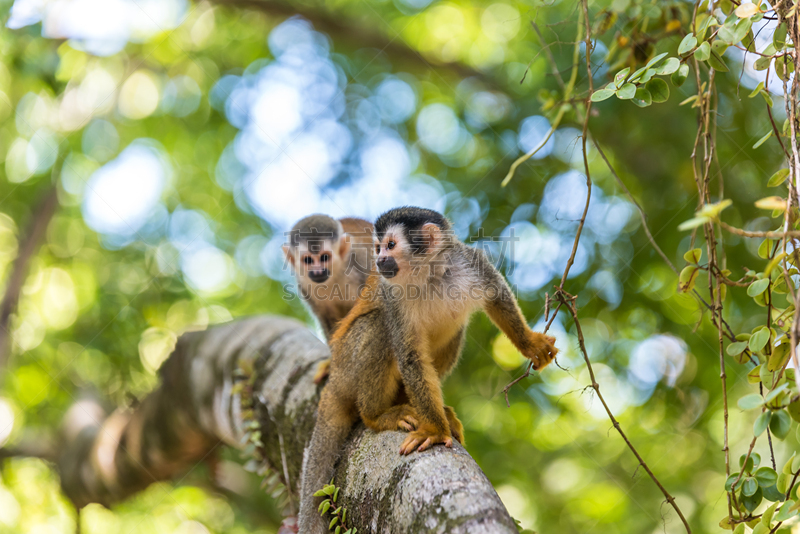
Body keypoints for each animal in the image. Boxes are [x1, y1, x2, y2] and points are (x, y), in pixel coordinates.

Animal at [282, 215, 374, 386]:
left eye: (324, 257)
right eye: (308, 260)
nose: (318, 271)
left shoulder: (362, 261)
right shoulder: (304, 285)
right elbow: (327, 318)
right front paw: (333, 364)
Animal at [296, 207, 560, 532]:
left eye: (390, 245)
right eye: (378, 248)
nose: (380, 261)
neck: (429, 273)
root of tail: (334, 379)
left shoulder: (469, 263)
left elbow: (497, 294)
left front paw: (530, 344)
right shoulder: (393, 294)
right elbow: (410, 355)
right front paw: (434, 431)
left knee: (455, 331)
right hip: (347, 364)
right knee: (379, 324)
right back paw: (377, 415)